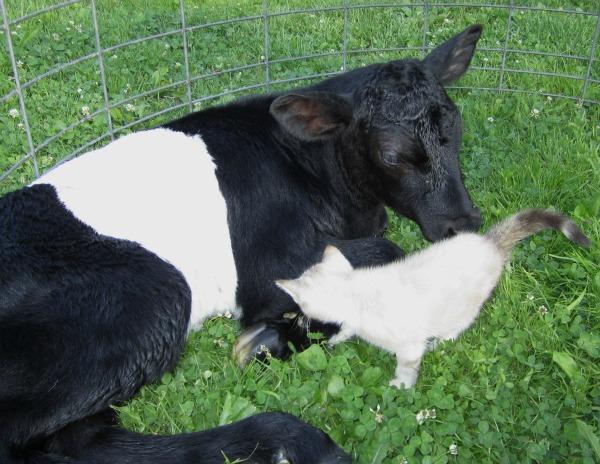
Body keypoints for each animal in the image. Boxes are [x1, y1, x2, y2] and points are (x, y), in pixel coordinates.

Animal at [1, 26, 482, 464]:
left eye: (456, 130)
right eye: (392, 156)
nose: (464, 223)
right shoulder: (268, 266)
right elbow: (385, 256)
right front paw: (283, 330)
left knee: (85, 438)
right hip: (152, 296)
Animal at [276, 210, 592, 388]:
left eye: (299, 306)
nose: (299, 317)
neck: (358, 293)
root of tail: (488, 243)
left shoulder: (408, 346)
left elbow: (406, 365)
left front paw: (401, 385)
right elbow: (348, 328)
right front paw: (339, 337)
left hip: (464, 308)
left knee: (458, 326)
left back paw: (442, 341)